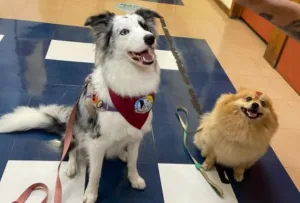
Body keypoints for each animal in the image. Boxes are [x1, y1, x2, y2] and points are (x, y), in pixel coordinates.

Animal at [0, 8, 162, 203]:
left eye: (144, 26)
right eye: (124, 32)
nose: (150, 38)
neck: (130, 79)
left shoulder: (135, 137)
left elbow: (133, 162)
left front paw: (135, 179)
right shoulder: (97, 141)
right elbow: (96, 173)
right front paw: (90, 194)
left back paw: (121, 153)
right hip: (76, 124)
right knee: (72, 147)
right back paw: (71, 166)